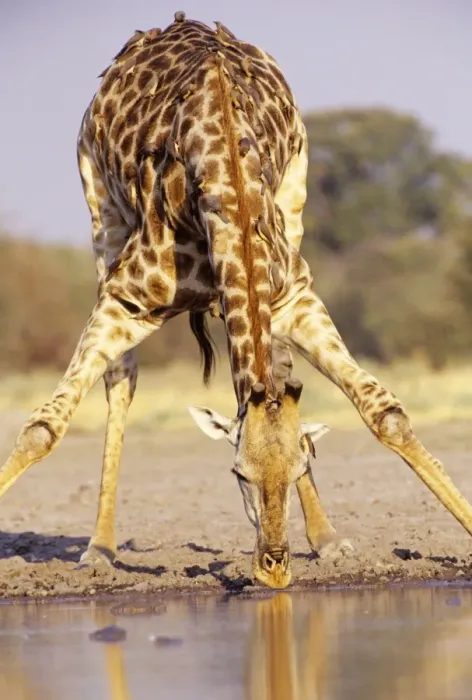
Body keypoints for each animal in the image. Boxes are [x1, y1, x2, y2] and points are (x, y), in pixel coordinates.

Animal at [0, 12, 472, 590]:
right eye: (237, 472)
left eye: (300, 466)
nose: (275, 567)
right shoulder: (125, 299)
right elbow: (43, 427)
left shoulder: (294, 295)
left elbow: (384, 412)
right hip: (101, 213)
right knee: (121, 379)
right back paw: (100, 547)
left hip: (295, 201)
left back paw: (328, 539)